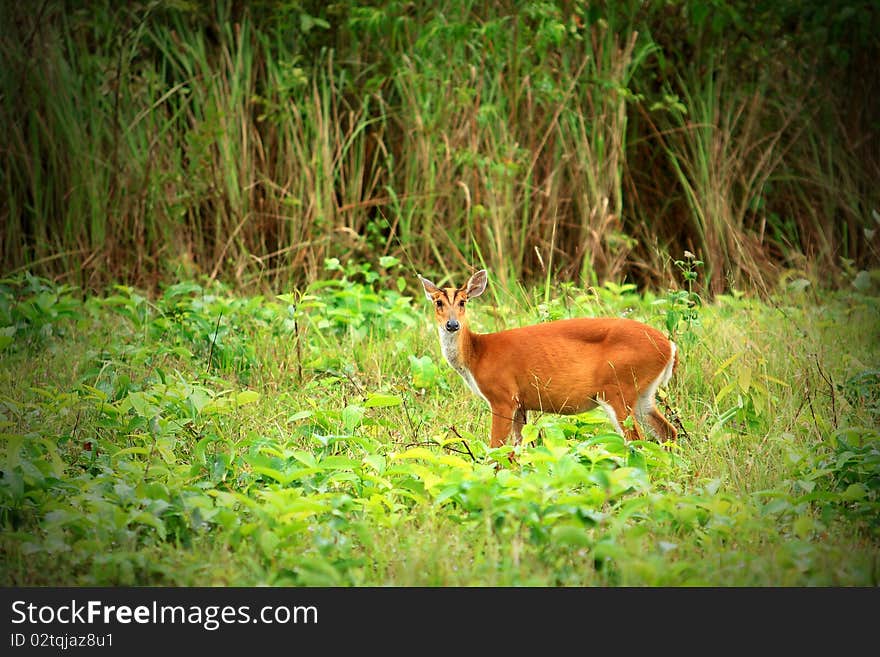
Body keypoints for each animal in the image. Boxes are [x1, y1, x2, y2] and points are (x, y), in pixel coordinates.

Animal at [420, 270, 680, 448]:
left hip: (618, 388)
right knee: (668, 431)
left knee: (636, 439)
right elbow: (519, 448)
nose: (452, 324)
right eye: (438, 302)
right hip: (643, 393)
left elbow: (496, 448)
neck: (477, 354)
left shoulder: (502, 396)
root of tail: (669, 346)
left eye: (463, 301)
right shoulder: (520, 403)